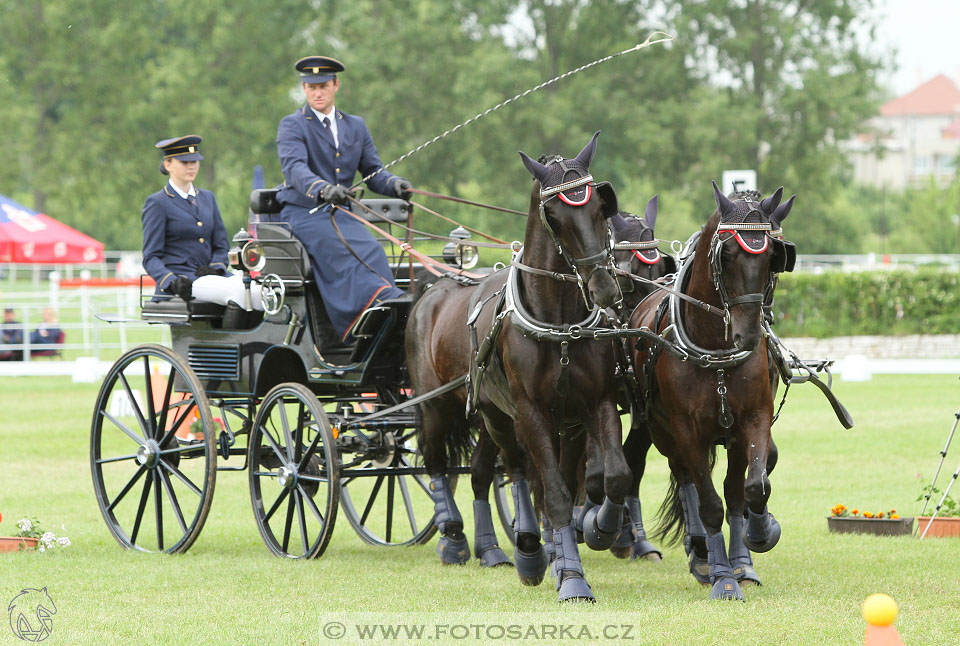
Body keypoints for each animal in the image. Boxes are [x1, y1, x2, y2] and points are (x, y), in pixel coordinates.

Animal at [406, 134, 628, 604]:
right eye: (554, 216)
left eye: (600, 208)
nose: (604, 287)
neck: (559, 324)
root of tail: (433, 290)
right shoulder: (530, 411)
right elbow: (556, 494)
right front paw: (573, 578)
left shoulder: (592, 406)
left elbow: (612, 476)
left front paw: (599, 530)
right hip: (454, 409)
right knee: (456, 463)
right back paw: (466, 540)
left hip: (497, 418)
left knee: (494, 470)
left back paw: (519, 547)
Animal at [624, 182, 796, 604]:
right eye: (727, 254)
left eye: (773, 256)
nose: (749, 335)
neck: (715, 350)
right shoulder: (688, 431)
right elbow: (710, 504)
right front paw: (722, 577)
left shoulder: (751, 422)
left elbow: (750, 488)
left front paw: (755, 540)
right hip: (661, 431)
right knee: (684, 479)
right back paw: (701, 553)